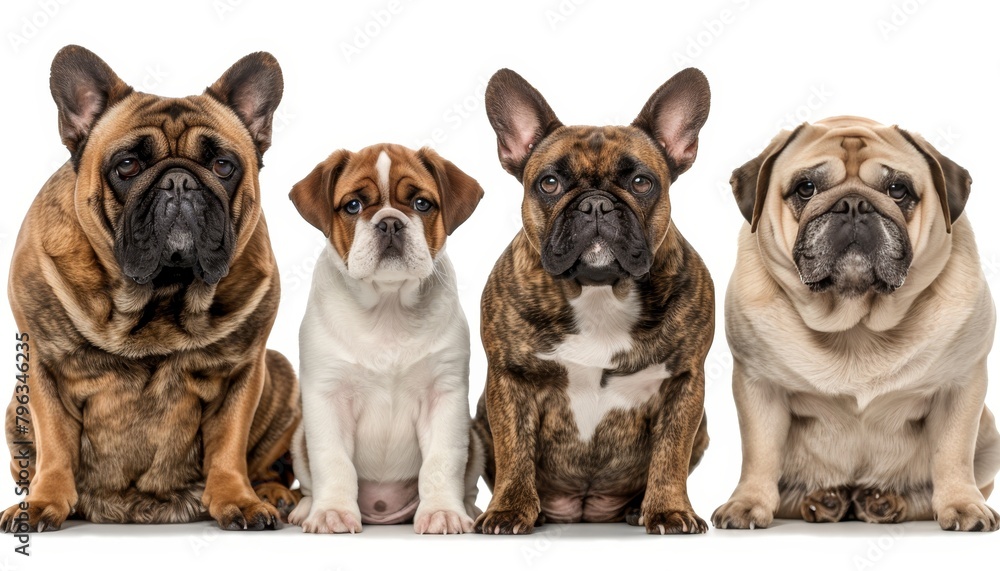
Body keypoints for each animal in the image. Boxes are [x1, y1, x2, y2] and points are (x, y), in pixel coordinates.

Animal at [286, 144, 484, 536]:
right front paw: (331, 512)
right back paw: (305, 509)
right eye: (353, 206)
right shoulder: (328, 398)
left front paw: (443, 512)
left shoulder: (444, 397)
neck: (387, 306)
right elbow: (332, 460)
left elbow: (442, 461)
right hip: (298, 438)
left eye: (422, 204)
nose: (390, 222)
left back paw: (469, 509)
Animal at [712, 115, 1000, 532]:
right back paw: (824, 500)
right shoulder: (759, 388)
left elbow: (952, 453)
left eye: (898, 190)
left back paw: (884, 502)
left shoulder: (959, 389)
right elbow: (760, 453)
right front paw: (747, 504)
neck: (855, 320)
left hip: (989, 436)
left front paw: (962, 505)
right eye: (806, 188)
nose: (852, 204)